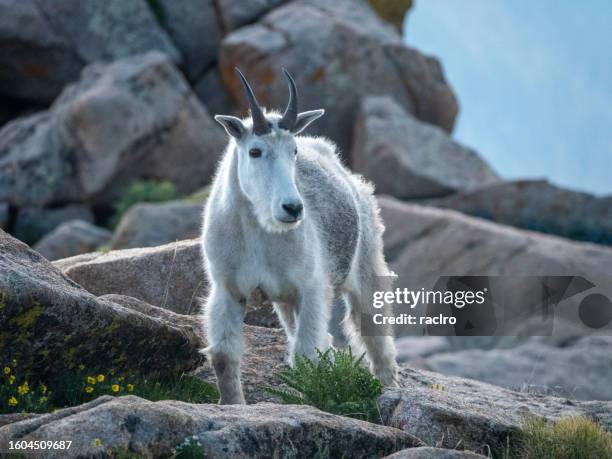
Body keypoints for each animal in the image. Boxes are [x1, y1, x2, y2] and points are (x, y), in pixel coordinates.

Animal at [203, 69, 400, 406]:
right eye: (255, 151)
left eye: (292, 151)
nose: (293, 208)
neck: (260, 231)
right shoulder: (229, 288)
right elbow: (223, 355)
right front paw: (233, 404)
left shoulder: (311, 289)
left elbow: (306, 356)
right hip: (285, 301)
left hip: (367, 266)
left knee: (374, 331)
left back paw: (390, 387)